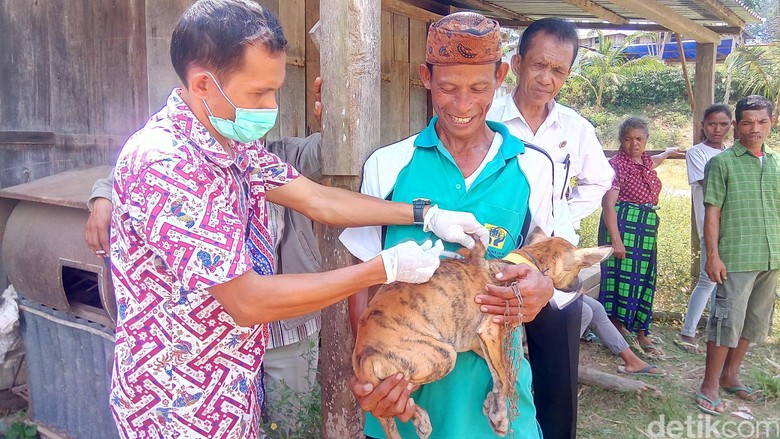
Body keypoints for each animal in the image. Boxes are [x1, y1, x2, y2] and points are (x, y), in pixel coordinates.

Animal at [354, 232, 616, 438]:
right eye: (580, 268)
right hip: (443, 355)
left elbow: (503, 374)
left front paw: (493, 403)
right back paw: (420, 418)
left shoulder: (481, 340)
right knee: (394, 398)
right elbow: (507, 378)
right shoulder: (490, 329)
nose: (579, 290)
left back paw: (417, 417)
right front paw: (500, 415)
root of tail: (362, 356)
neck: (519, 264)